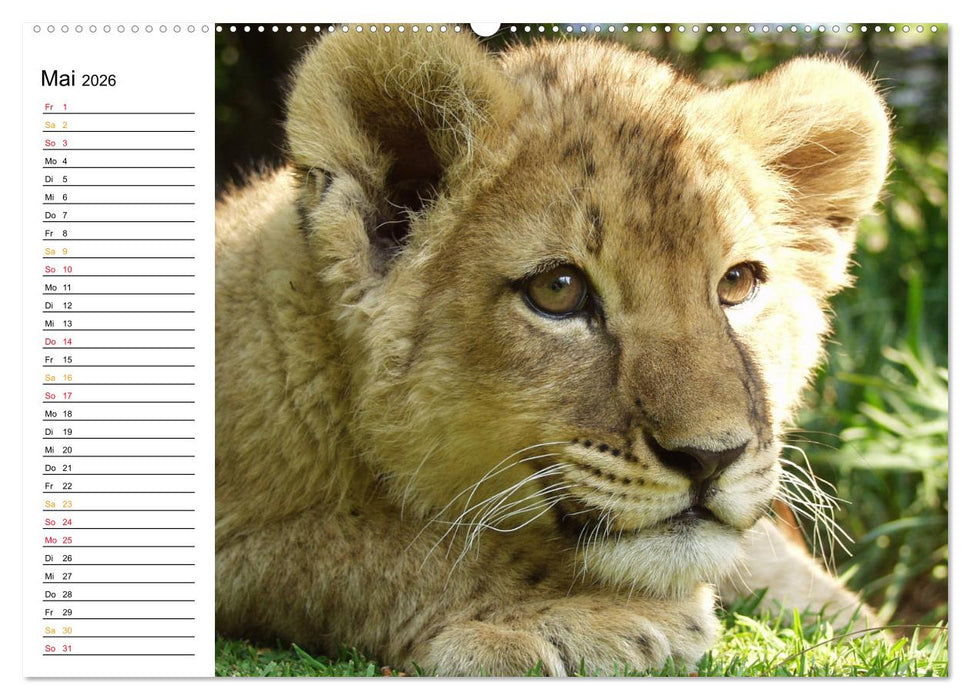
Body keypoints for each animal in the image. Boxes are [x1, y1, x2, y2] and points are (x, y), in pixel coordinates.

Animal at [214, 29, 891, 675]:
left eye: (737, 283)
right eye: (558, 290)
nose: (710, 458)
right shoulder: (234, 545)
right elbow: (368, 548)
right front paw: (591, 613)